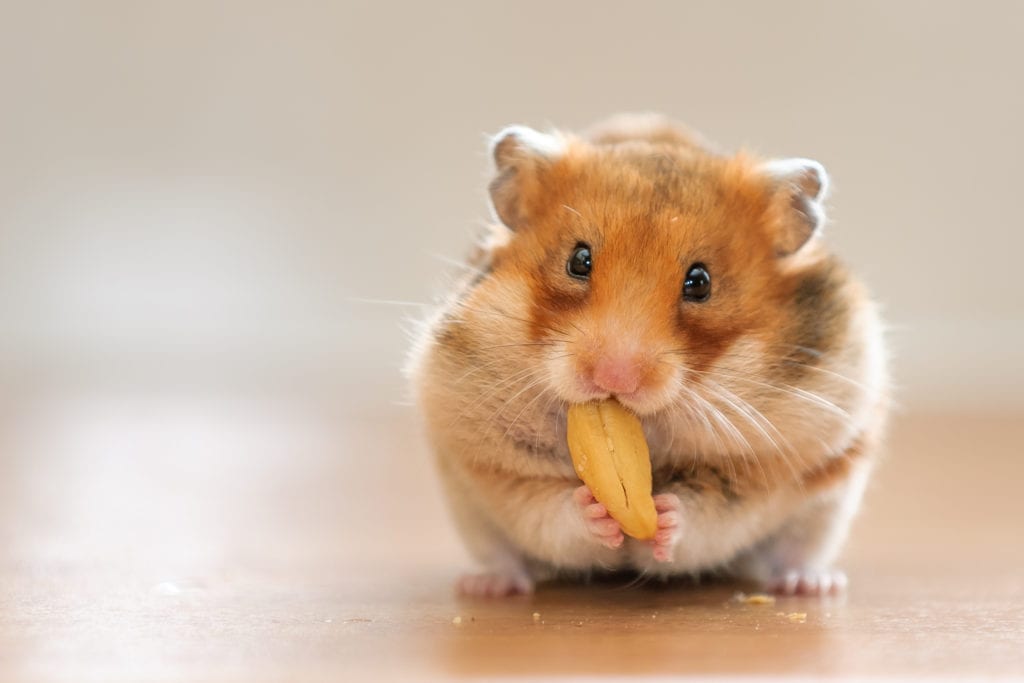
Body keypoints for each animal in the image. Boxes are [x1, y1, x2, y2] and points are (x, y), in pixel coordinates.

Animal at [407, 113, 889, 598]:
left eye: (700, 282)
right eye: (578, 260)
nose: (614, 379)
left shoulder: (767, 468)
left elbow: (710, 513)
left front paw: (665, 517)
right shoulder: (492, 461)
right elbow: (548, 508)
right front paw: (594, 510)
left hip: (827, 507)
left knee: (795, 552)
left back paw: (812, 585)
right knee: (502, 554)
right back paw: (487, 586)